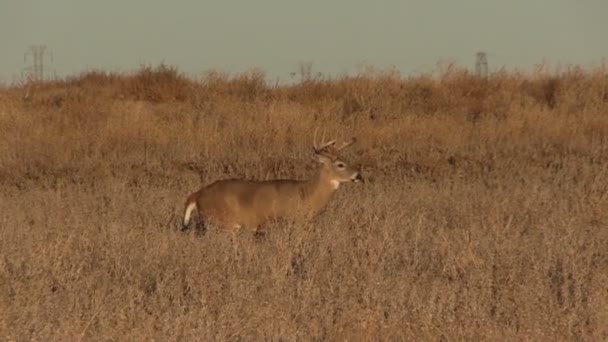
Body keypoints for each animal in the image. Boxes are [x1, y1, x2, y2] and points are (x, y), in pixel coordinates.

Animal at [178, 129, 364, 235]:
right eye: (340, 164)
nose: (359, 175)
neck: (306, 193)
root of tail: (197, 195)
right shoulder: (288, 221)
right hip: (221, 222)